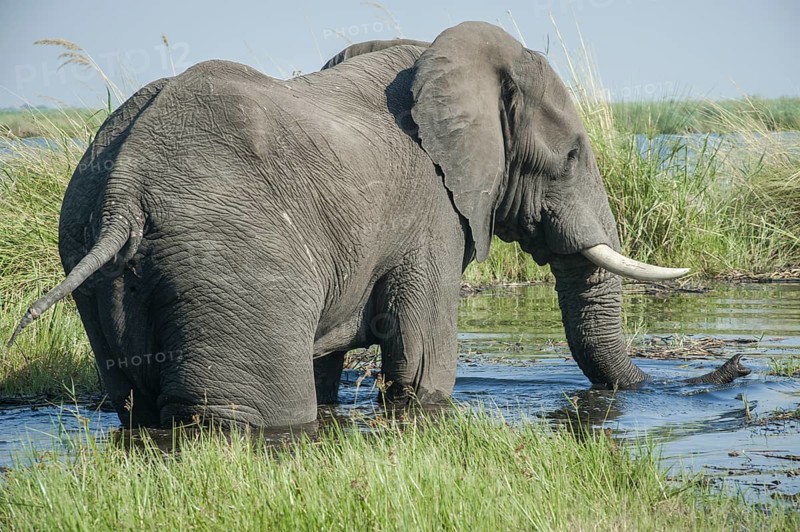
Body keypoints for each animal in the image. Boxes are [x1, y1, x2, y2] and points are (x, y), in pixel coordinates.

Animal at [9, 22, 749, 429]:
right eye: (569, 156)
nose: (737, 368)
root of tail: (125, 189)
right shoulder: (432, 211)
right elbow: (422, 366)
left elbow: (330, 369)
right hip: (230, 263)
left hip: (87, 249)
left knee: (130, 406)